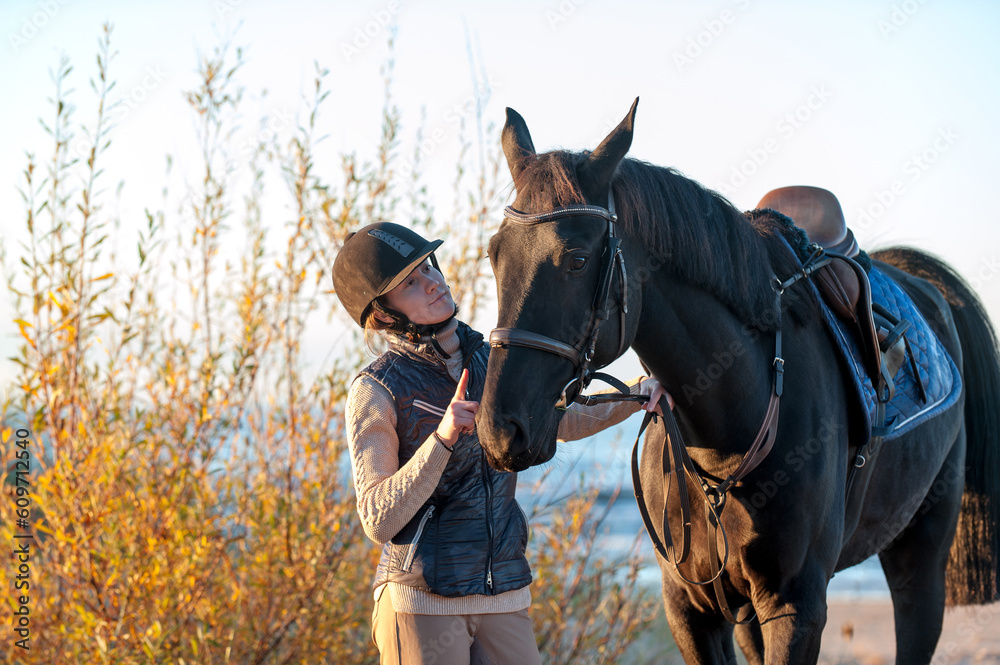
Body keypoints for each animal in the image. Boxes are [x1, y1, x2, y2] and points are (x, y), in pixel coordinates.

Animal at [475, 98, 1000, 664]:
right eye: (494, 253)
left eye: (576, 260)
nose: (499, 431)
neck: (729, 424)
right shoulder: (691, 608)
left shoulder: (796, 608)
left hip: (920, 559)